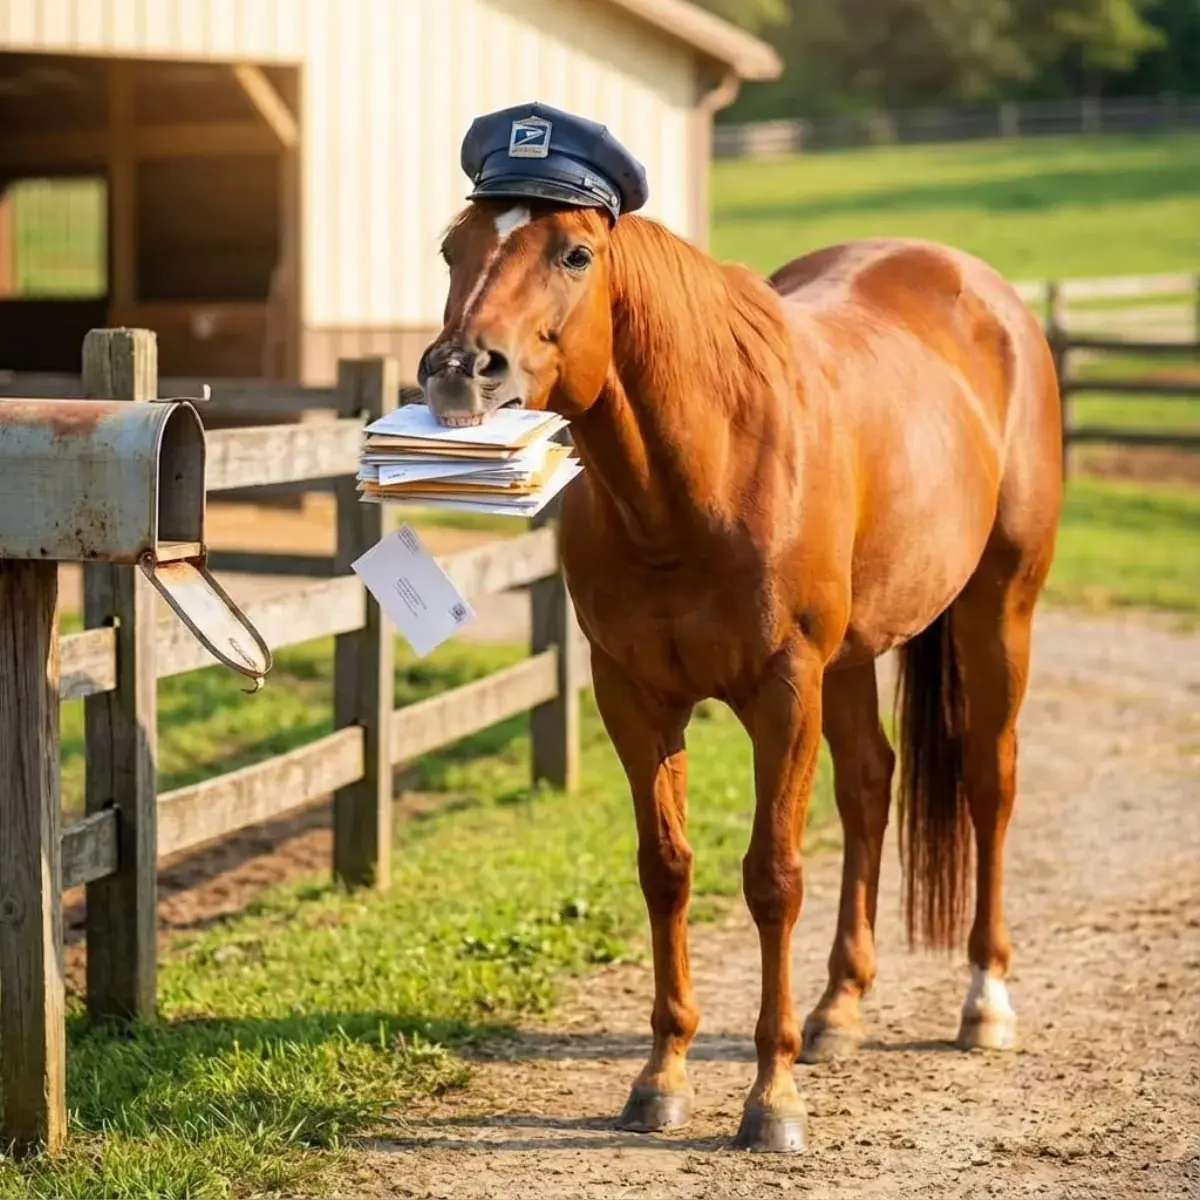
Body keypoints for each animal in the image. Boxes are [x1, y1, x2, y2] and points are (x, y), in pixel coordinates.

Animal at [419, 199, 1062, 1152]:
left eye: (576, 254)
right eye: (451, 249)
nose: (463, 371)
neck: (704, 472)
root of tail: (982, 290)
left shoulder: (784, 693)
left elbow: (773, 878)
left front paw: (773, 1097)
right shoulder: (635, 698)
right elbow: (666, 869)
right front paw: (662, 1078)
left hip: (999, 611)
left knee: (991, 783)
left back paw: (985, 1001)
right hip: (852, 658)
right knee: (868, 787)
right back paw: (839, 1009)